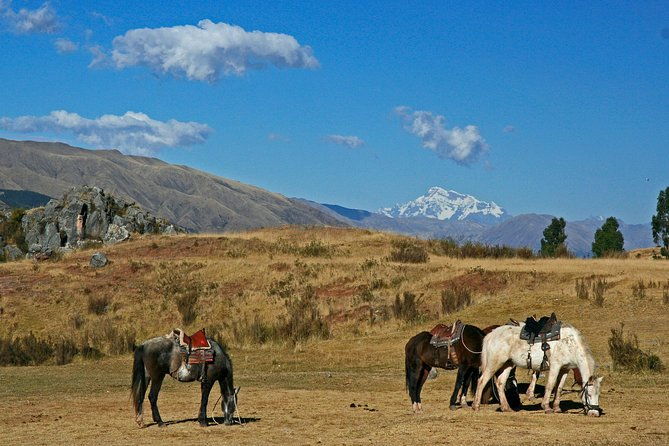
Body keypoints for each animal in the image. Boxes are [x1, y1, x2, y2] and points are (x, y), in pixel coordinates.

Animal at [472, 324, 603, 416]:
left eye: (598, 394)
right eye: (589, 394)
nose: (594, 414)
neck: (569, 344)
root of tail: (491, 334)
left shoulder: (565, 369)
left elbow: (559, 388)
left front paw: (557, 408)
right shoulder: (555, 366)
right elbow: (550, 385)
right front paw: (546, 407)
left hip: (507, 364)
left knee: (500, 383)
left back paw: (506, 408)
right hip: (494, 364)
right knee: (482, 381)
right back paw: (476, 406)